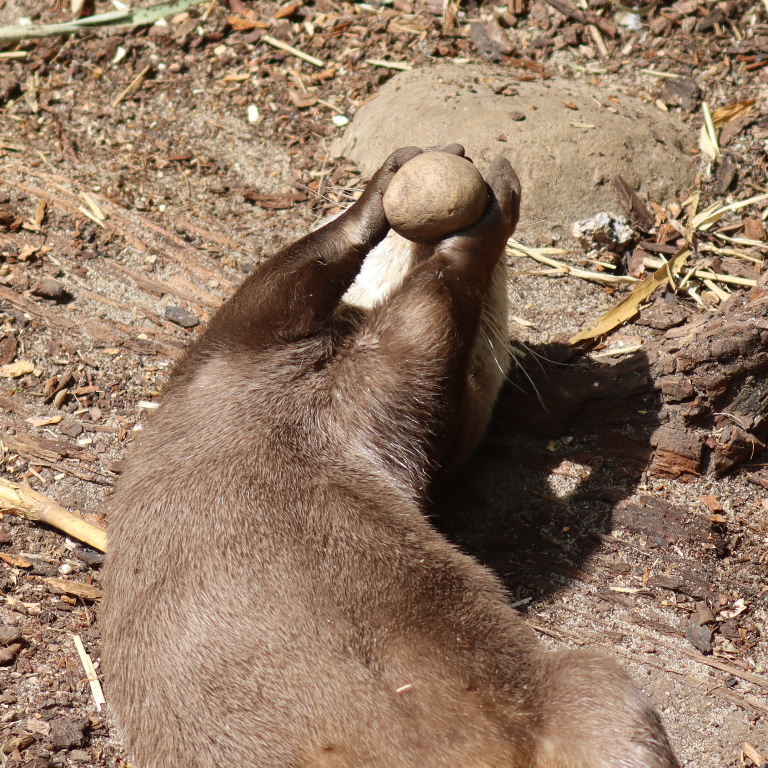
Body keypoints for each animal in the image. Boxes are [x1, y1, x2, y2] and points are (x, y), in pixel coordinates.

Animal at [100, 145, 680, 768]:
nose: (462, 151)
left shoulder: (253, 363)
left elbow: (395, 302)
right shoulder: (236, 361)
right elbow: (326, 275)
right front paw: (414, 191)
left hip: (589, 684)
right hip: (593, 684)